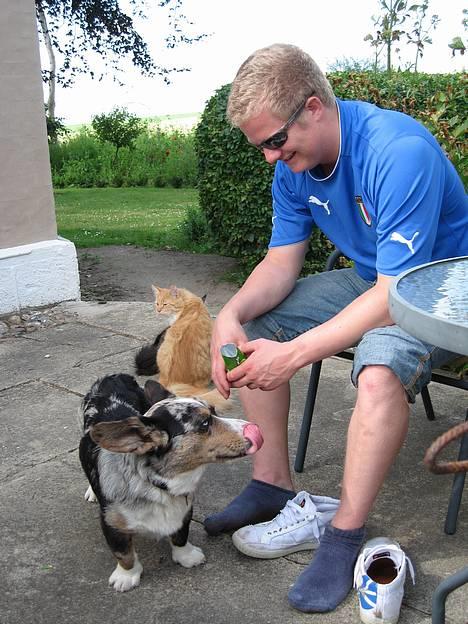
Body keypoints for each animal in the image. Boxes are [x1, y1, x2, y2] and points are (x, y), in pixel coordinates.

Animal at [80, 372, 264, 592]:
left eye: (214, 411)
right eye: (205, 423)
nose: (254, 427)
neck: (157, 484)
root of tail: (113, 377)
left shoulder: (184, 513)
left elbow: (180, 536)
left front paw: (187, 557)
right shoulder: (112, 524)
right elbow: (124, 554)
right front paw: (126, 577)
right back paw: (92, 492)